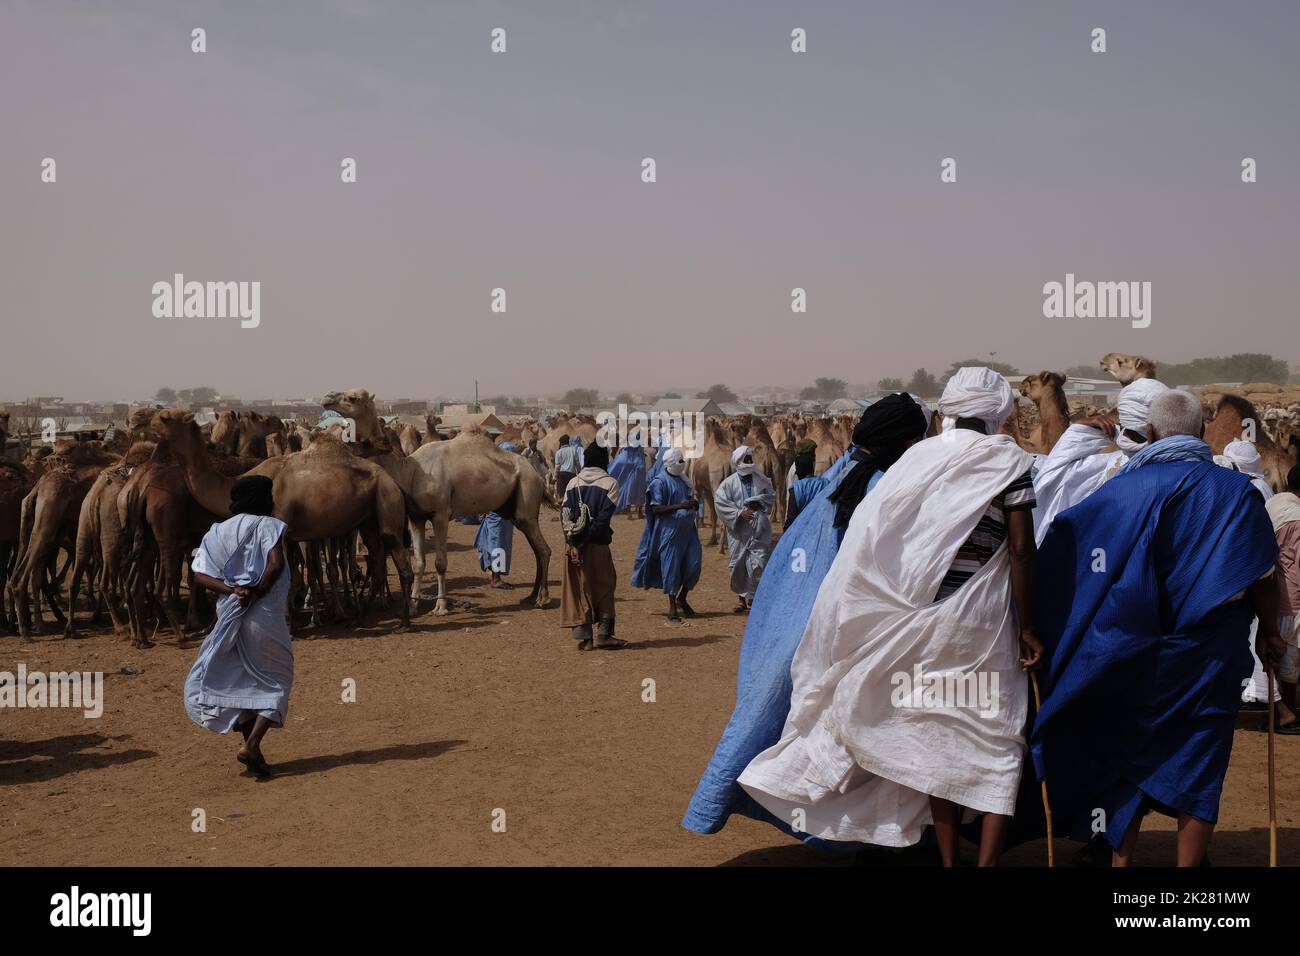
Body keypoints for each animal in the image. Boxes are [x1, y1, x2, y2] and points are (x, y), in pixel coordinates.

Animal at [154, 408, 413, 629]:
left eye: (165, 418)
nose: (149, 420)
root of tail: (393, 481)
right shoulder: (286, 535)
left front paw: (288, 623)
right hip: (368, 520)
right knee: (377, 564)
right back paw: (360, 617)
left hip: (386, 500)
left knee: (400, 561)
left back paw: (404, 620)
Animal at [325, 392, 553, 616]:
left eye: (353, 398)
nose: (327, 398)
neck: (411, 473)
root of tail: (538, 477)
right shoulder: (416, 518)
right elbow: (419, 563)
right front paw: (414, 606)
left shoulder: (441, 514)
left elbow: (440, 562)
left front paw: (441, 606)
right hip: (514, 509)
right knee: (536, 548)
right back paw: (531, 596)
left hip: (527, 494)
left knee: (543, 549)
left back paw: (542, 599)